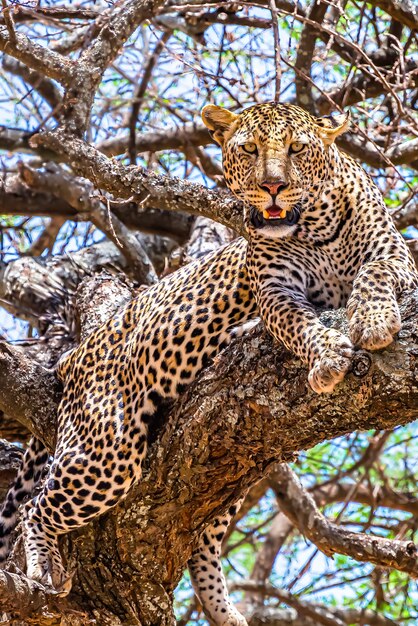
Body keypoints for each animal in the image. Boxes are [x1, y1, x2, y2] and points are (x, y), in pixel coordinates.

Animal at [0, 102, 416, 624]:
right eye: (249, 149)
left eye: (297, 149)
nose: (273, 186)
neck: (317, 226)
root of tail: (76, 352)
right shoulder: (275, 290)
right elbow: (296, 324)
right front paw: (328, 355)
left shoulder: (397, 259)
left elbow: (375, 271)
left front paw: (375, 320)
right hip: (106, 448)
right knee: (35, 506)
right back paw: (43, 568)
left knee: (204, 535)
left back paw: (224, 611)